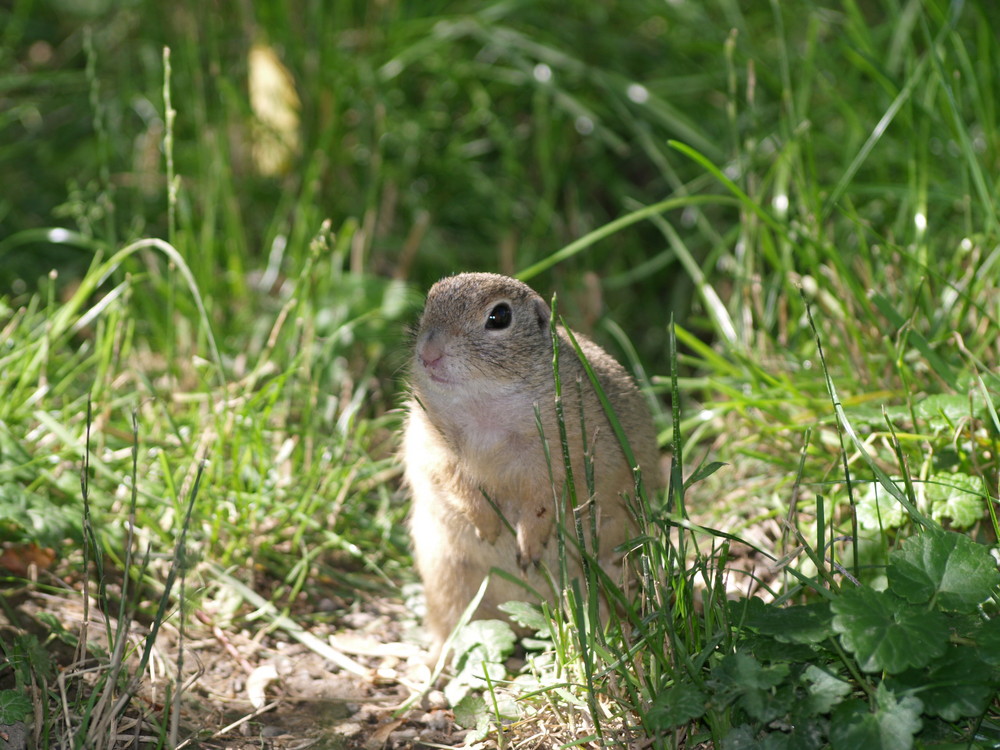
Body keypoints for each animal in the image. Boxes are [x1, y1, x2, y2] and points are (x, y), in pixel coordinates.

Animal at [402, 272, 660, 656]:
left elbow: (542, 499)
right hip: (445, 575)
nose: (428, 354)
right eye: (428, 302)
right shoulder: (431, 443)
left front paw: (527, 547)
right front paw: (487, 526)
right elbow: (451, 481)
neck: (483, 404)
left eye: (499, 317)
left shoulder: (557, 450)